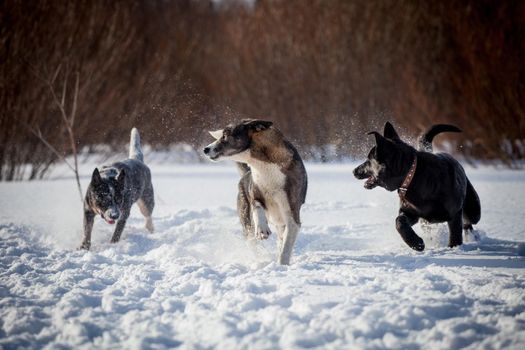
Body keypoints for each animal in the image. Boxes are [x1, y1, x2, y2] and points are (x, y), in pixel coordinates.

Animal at [202, 120, 308, 266]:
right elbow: (257, 208)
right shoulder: (255, 194)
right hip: (246, 218)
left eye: (225, 135)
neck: (265, 164)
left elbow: (286, 246)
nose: (205, 149)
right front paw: (262, 229)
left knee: (281, 239)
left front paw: (282, 264)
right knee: (252, 239)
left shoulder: (292, 214)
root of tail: (245, 174)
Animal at [352, 121, 478, 250]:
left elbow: (455, 234)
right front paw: (416, 243)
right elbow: (399, 221)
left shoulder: (455, 212)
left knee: (468, 222)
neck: (412, 175)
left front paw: (454, 248)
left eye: (368, 160)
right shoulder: (410, 212)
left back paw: (471, 236)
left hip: (473, 210)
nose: (354, 171)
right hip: (426, 222)